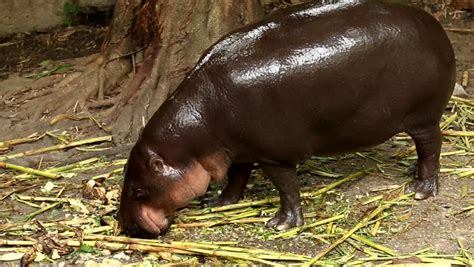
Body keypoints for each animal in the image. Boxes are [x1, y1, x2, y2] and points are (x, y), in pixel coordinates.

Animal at [117, 0, 456, 239]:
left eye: (138, 192)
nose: (123, 225)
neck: (194, 135)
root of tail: (435, 25)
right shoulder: (238, 149)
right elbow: (236, 177)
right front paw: (219, 203)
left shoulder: (273, 155)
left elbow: (287, 188)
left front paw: (281, 224)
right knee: (425, 151)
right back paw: (411, 171)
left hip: (424, 117)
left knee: (432, 148)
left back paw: (421, 189)